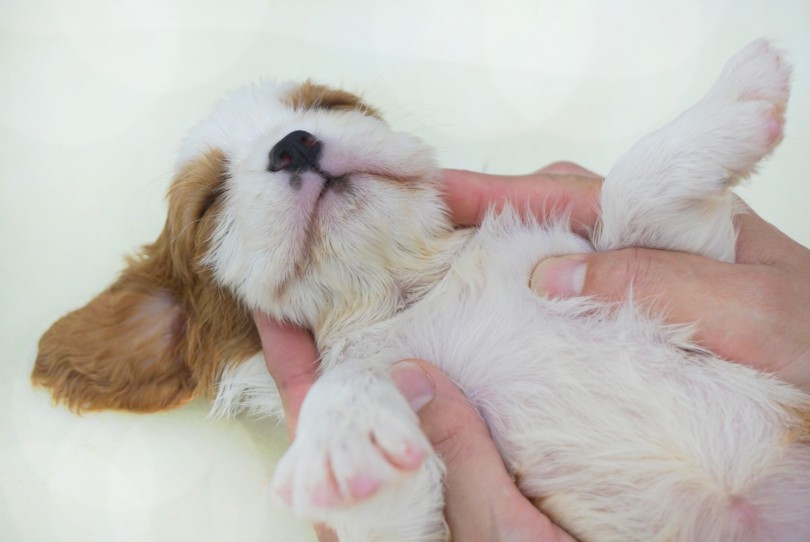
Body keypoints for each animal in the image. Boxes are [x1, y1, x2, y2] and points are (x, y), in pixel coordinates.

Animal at [33, 41, 808, 542]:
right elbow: (347, 397)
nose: (294, 142)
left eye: (334, 104)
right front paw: (344, 438)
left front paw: (739, 94)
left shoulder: (691, 263)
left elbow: (634, 192)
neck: (408, 292)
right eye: (210, 201)